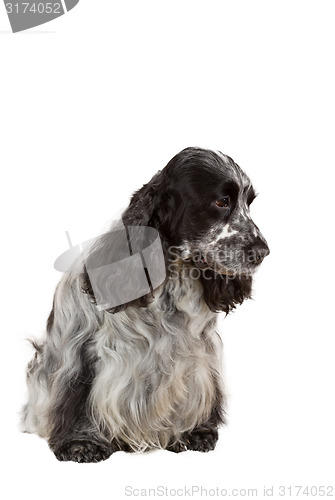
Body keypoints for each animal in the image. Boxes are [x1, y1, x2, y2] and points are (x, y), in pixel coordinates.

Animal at [21, 146, 270, 462]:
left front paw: (194, 432)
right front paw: (82, 443)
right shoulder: (85, 353)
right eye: (221, 201)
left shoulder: (199, 356)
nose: (263, 251)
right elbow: (78, 399)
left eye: (249, 204)